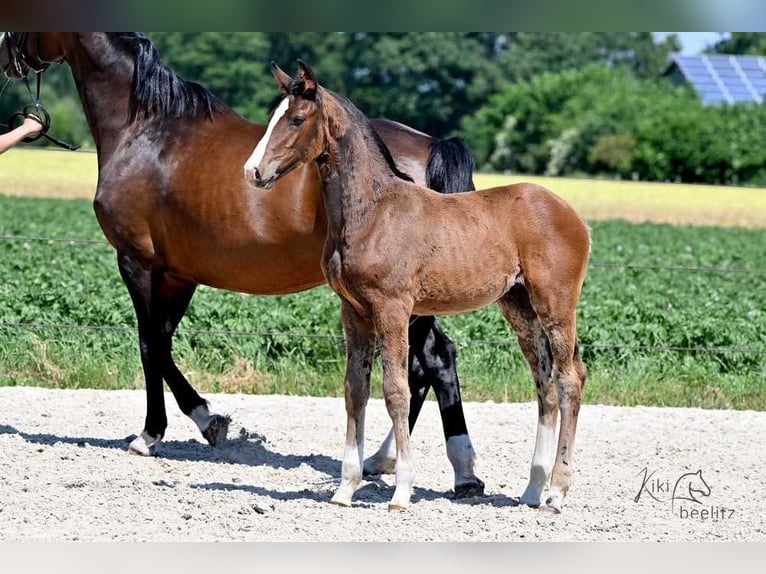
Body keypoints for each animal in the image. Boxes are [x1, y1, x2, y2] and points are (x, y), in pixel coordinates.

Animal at [0, 33, 485, 498]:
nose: (6, 53)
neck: (149, 131)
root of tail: (432, 145)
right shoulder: (179, 275)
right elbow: (162, 341)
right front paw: (204, 421)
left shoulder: (137, 262)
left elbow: (149, 344)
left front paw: (163, 431)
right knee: (438, 360)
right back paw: (454, 473)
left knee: (426, 362)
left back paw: (395, 464)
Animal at [245, 60, 591, 513]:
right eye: (272, 115)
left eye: (297, 119)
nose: (253, 172)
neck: (373, 212)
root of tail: (571, 213)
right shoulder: (353, 311)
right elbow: (355, 389)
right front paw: (345, 489)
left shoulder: (392, 308)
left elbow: (396, 390)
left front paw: (401, 490)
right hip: (519, 306)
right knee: (544, 382)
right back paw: (532, 490)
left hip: (555, 304)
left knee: (569, 379)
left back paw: (557, 493)